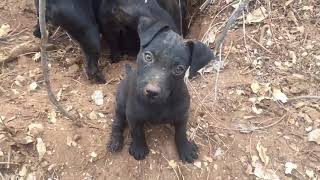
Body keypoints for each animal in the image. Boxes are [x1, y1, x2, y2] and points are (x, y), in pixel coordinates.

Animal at [108, 25, 215, 163]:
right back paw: (115, 141)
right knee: (117, 122)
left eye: (179, 69)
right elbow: (137, 132)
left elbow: (181, 133)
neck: (159, 104)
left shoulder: (182, 115)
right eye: (148, 57)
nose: (151, 92)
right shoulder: (132, 115)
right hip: (121, 105)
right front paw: (139, 148)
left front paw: (185, 148)